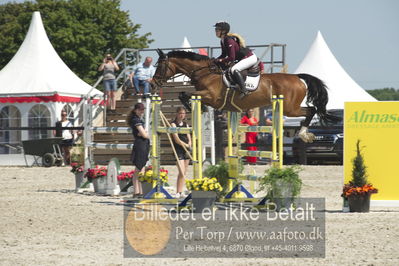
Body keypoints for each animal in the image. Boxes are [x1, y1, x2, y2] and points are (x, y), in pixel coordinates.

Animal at [153, 48, 340, 142]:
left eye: (160, 66)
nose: (153, 82)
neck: (206, 73)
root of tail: (297, 77)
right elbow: (184, 94)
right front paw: (199, 108)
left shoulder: (211, 96)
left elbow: (186, 94)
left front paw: (195, 107)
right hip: (290, 107)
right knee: (311, 110)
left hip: (289, 108)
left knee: (311, 110)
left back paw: (303, 134)